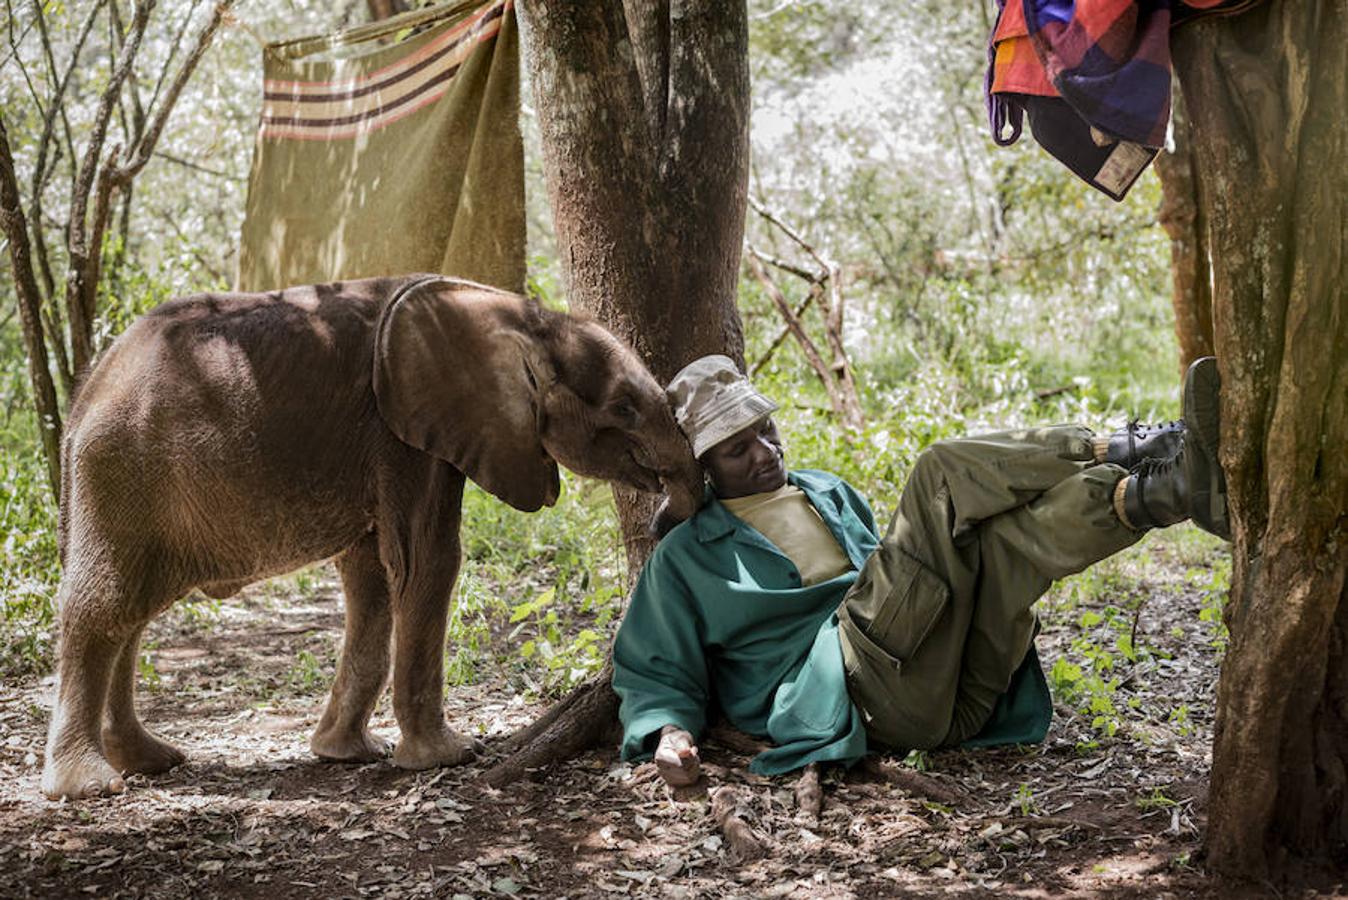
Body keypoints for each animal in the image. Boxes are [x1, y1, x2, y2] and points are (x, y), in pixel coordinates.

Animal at [43, 276, 700, 802]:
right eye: (623, 407)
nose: (667, 515)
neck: (517, 313)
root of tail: (83, 400)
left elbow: (374, 578)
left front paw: (351, 754)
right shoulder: (401, 432)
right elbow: (428, 561)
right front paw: (449, 757)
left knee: (131, 614)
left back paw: (152, 761)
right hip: (121, 472)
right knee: (104, 606)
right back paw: (87, 787)